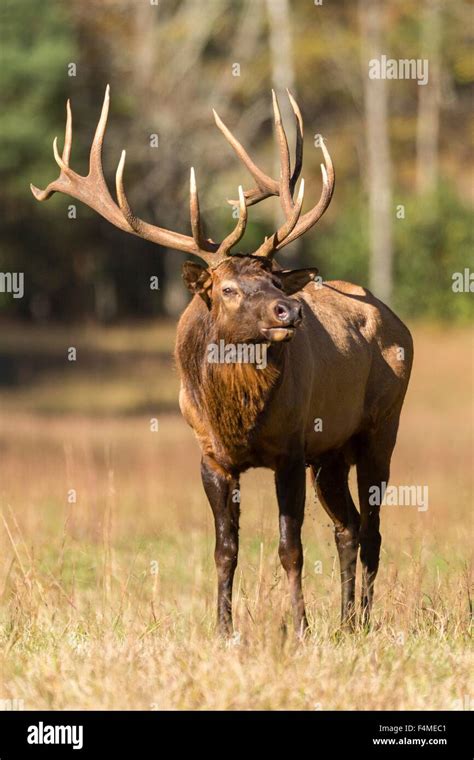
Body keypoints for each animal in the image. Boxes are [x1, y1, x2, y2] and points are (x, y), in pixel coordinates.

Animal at [31, 86, 412, 640]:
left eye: (275, 279)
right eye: (228, 289)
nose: (291, 309)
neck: (237, 418)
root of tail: (396, 320)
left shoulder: (291, 448)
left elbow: (290, 548)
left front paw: (299, 627)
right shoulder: (212, 455)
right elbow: (224, 550)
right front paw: (223, 629)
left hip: (381, 426)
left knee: (375, 529)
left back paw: (360, 620)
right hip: (331, 452)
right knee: (349, 526)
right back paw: (344, 622)